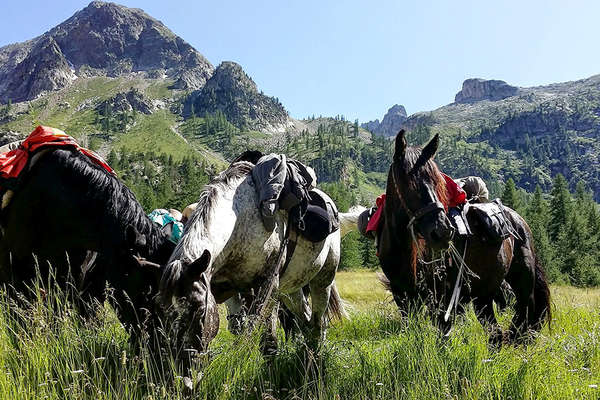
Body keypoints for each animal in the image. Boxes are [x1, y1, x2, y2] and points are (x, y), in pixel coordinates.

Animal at [157, 161, 358, 352]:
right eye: (162, 309)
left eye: (199, 309)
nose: (182, 356)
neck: (239, 223)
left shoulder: (268, 286)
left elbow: (268, 342)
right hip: (291, 289)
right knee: (306, 320)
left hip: (322, 280)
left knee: (317, 324)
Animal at [378, 130, 552, 342]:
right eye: (407, 184)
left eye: (437, 182)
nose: (442, 232)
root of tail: (518, 220)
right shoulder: (403, 297)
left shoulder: (442, 301)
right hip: (484, 295)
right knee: (498, 332)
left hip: (520, 285)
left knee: (520, 321)